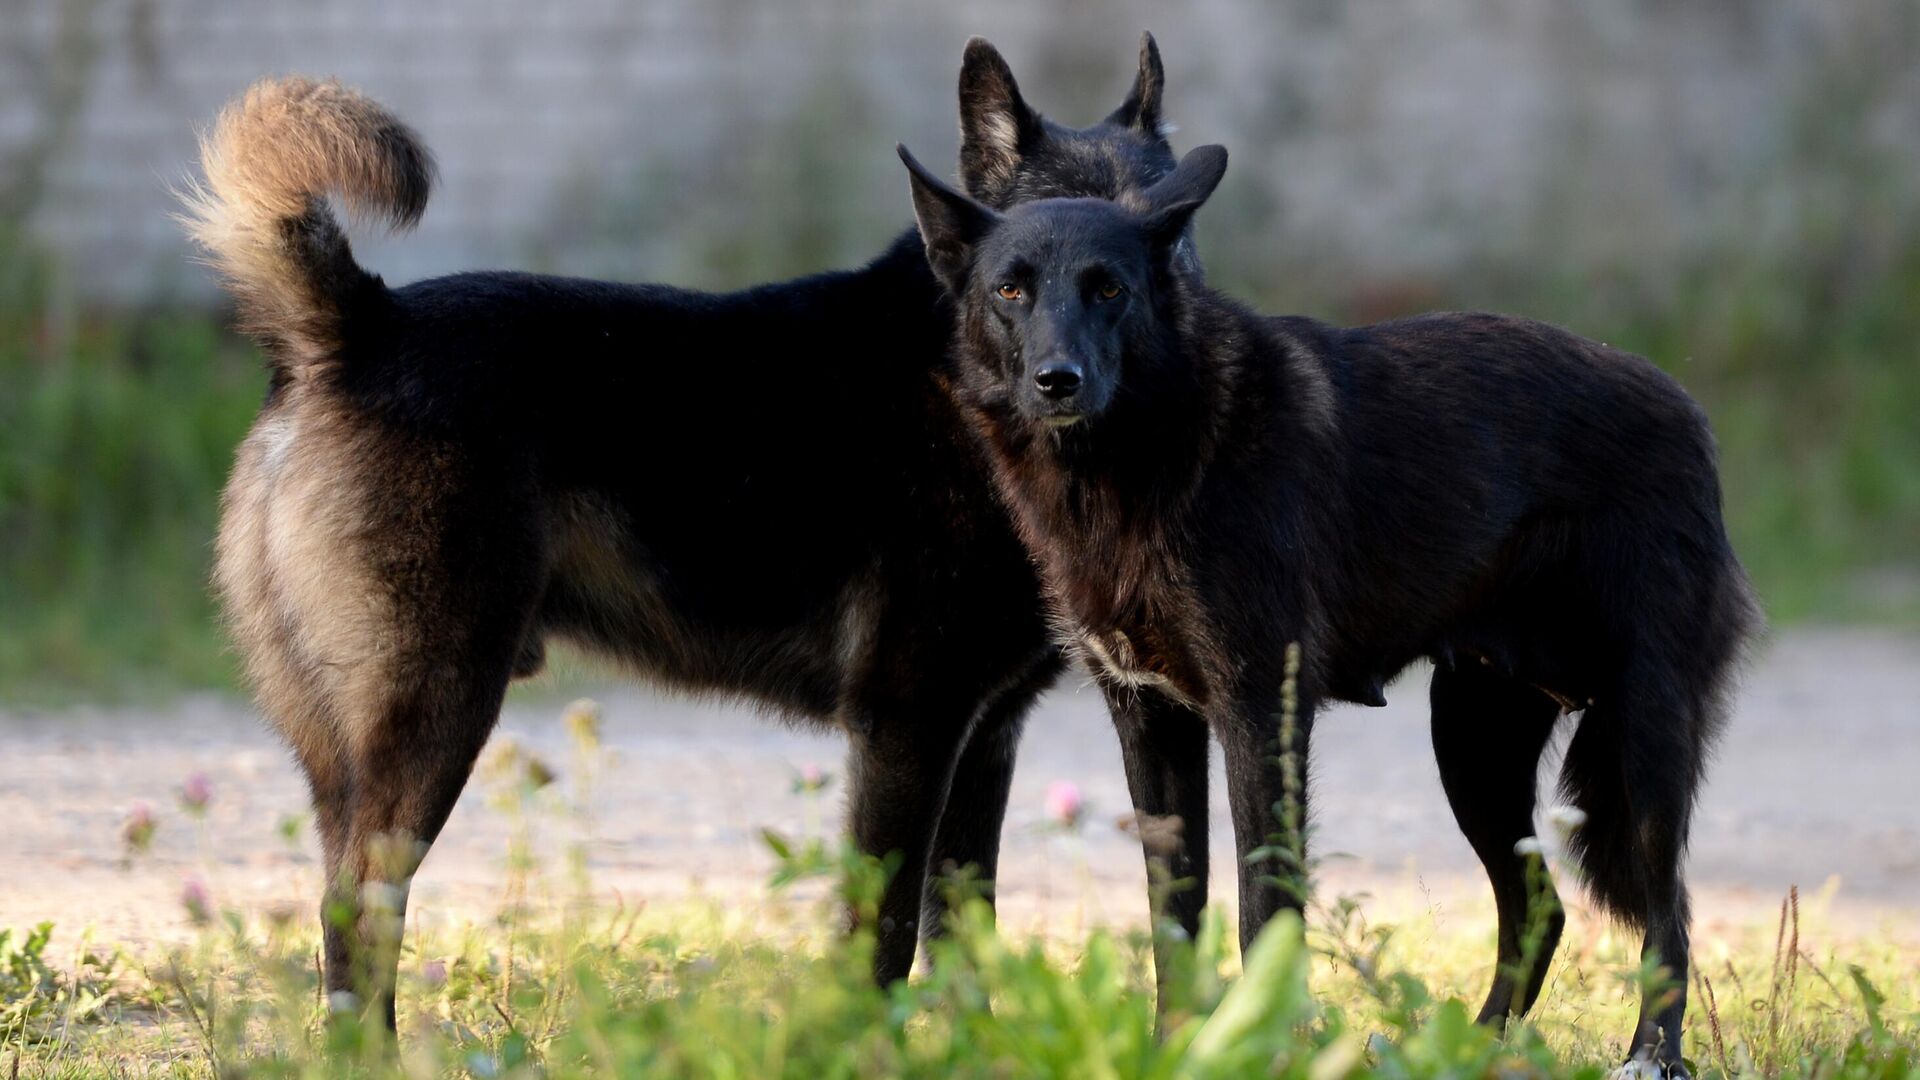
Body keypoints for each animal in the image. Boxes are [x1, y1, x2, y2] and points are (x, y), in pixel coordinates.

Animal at [187, 37, 1190, 1022]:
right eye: (1028, 276)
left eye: (1166, 242)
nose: (1081, 373)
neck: (959, 375)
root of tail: (357, 324)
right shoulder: (907, 726)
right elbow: (882, 938)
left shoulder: (984, 736)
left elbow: (963, 944)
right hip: (435, 716)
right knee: (359, 918)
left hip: (348, 758)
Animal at [906, 141, 1758, 1068]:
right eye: (1010, 290)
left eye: (1109, 289)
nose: (1058, 381)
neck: (1144, 459)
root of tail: (1687, 412)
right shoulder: (1151, 719)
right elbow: (1174, 917)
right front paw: (1177, 1048)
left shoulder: (1260, 716)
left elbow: (1263, 910)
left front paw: (1265, 1048)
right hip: (1474, 748)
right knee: (1540, 907)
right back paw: (1468, 1051)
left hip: (1642, 736)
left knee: (1669, 916)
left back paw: (1651, 1057)